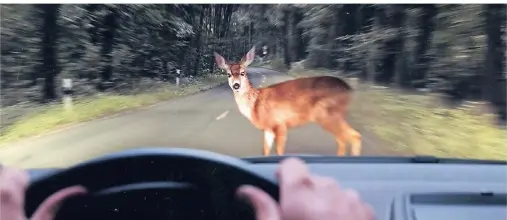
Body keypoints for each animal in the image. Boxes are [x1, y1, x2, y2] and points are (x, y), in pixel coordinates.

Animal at [214, 46, 362, 156]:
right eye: (228, 74)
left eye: (243, 72)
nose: (236, 85)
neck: (255, 104)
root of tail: (349, 89)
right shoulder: (268, 128)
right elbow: (265, 150)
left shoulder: (280, 124)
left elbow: (280, 151)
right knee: (354, 135)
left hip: (326, 114)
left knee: (344, 138)